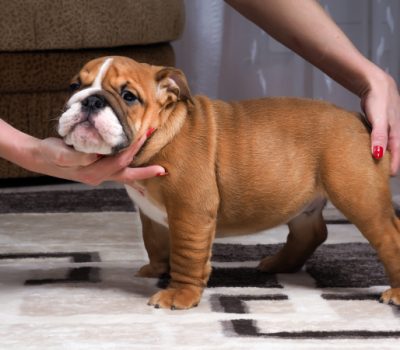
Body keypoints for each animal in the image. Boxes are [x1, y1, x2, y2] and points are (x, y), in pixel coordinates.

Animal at [57, 56, 400, 310]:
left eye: (129, 96)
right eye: (75, 85)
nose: (90, 101)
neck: (160, 132)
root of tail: (360, 120)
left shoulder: (190, 212)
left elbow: (186, 255)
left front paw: (179, 295)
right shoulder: (150, 214)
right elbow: (154, 242)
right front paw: (155, 270)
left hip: (360, 196)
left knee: (389, 237)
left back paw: (395, 292)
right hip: (303, 202)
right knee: (312, 232)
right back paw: (279, 263)